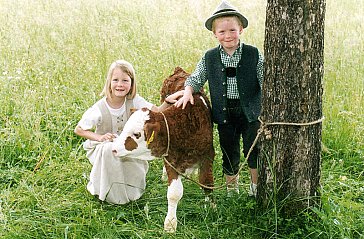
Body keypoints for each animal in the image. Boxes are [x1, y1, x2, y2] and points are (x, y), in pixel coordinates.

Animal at [112, 67, 215, 232]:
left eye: (137, 134)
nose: (114, 149)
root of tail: (179, 71)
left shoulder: (208, 154)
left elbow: (206, 181)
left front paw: (212, 207)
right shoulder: (170, 158)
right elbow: (174, 193)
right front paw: (171, 223)